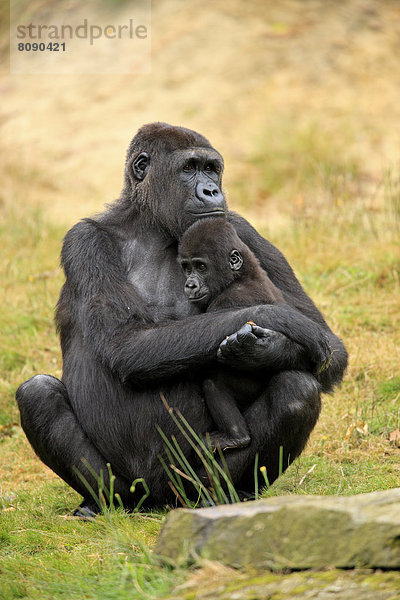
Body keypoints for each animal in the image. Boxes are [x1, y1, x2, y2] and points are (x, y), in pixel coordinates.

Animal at [178, 217, 284, 450]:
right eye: (187, 268)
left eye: (201, 267)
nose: (190, 285)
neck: (241, 275)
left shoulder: (226, 301)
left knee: (212, 383)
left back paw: (236, 436)